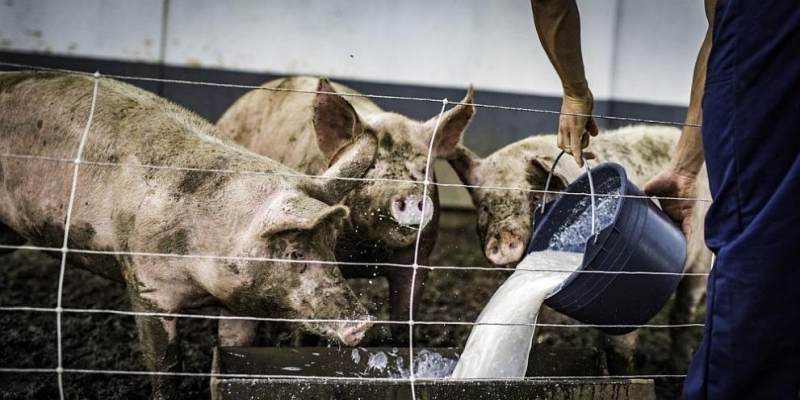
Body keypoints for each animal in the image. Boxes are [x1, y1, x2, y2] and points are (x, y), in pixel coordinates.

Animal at [0, 72, 376, 400]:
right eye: (295, 253)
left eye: (332, 248)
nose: (362, 324)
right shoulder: (145, 283)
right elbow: (166, 364)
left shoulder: (240, 301)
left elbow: (235, 344)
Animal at [216, 76, 476, 344]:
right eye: (371, 166)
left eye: (424, 168)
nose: (410, 194)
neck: (368, 254)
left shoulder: (418, 260)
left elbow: (404, 322)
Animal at [450, 123, 712, 374]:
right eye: (485, 207)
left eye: (534, 198)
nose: (503, 240)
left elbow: (618, 346)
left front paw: (623, 377)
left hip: (701, 263)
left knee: (683, 313)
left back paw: (679, 367)